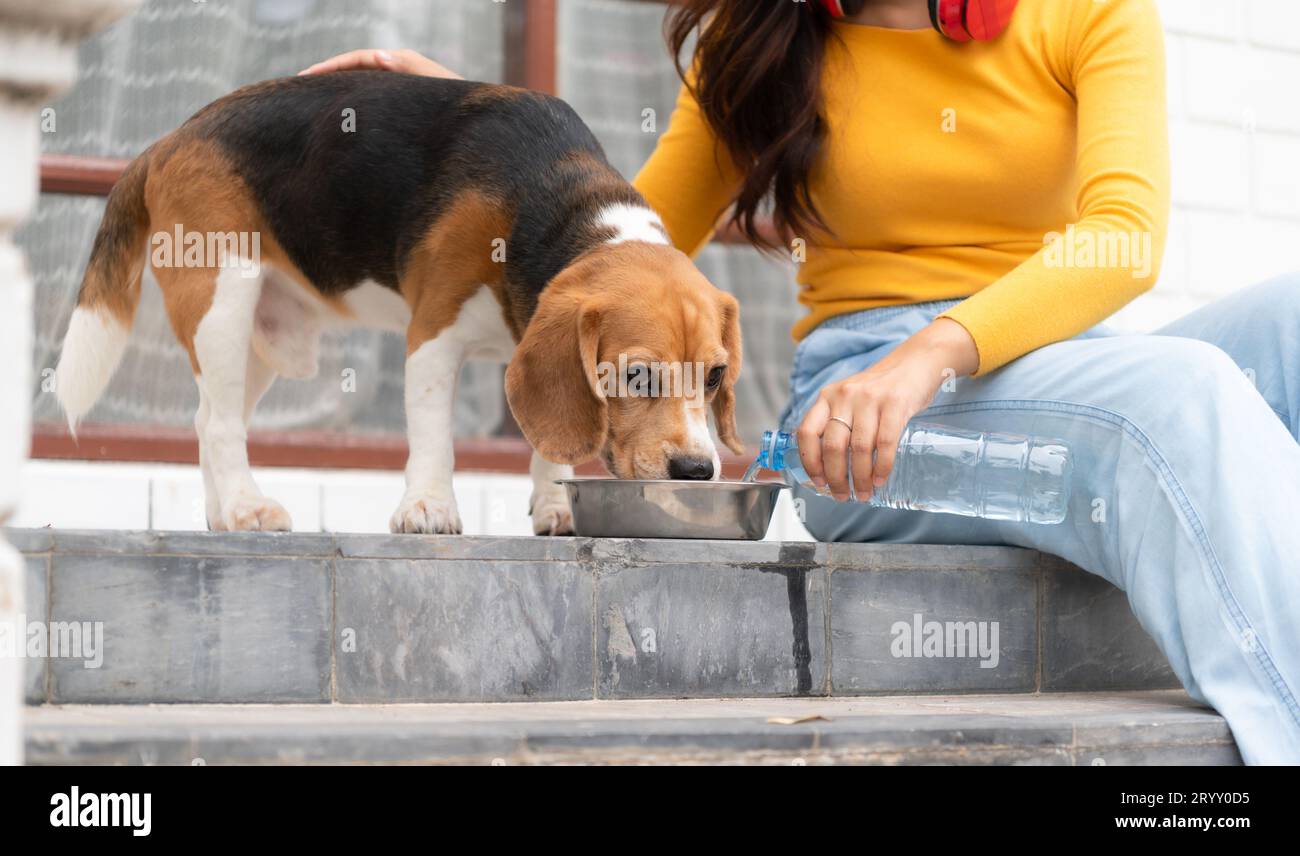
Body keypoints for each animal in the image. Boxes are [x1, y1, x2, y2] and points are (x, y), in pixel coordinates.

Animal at [55, 71, 743, 533]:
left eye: (714, 377)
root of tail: (169, 140)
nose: (695, 472)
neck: (562, 206)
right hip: (220, 299)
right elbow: (434, 435)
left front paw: (555, 506)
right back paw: (248, 507)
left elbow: (549, 441)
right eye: (636, 375)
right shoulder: (434, 334)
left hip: (259, 341)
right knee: (220, 423)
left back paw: (225, 512)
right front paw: (429, 508)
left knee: (206, 420)